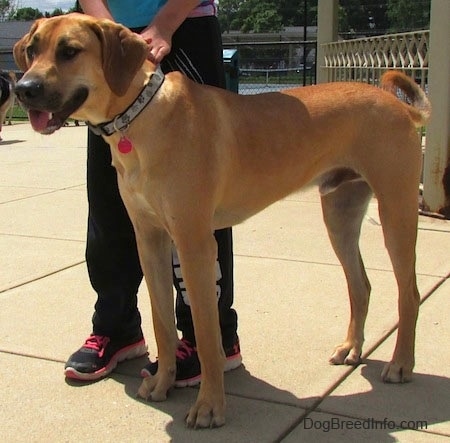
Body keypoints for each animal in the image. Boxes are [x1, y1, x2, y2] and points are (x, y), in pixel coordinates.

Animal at [13, 14, 428, 430]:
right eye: (32, 50)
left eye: (70, 51)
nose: (23, 89)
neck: (139, 116)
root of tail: (399, 104)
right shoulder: (150, 240)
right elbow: (162, 324)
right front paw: (162, 383)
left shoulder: (194, 242)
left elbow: (207, 336)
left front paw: (210, 406)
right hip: (340, 214)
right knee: (361, 285)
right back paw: (351, 348)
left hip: (396, 211)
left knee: (408, 292)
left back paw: (401, 364)